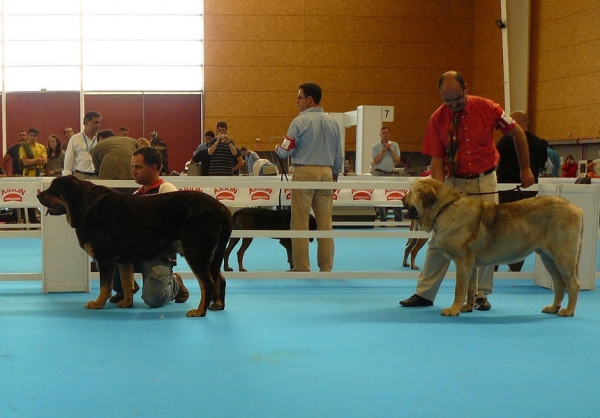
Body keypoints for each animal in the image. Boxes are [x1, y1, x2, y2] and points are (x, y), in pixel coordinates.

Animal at [38, 176, 232, 316]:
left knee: (207, 283)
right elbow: (126, 283)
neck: (85, 204)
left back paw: (199, 311)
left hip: (196, 251)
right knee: (219, 278)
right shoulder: (123, 259)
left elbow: (104, 285)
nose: (38, 194)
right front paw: (126, 303)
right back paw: (217, 305)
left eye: (53, 188)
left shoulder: (105, 257)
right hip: (211, 255)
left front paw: (98, 303)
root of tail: (222, 208)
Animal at [404, 176, 580, 316]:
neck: (444, 208)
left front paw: (453, 309)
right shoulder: (471, 264)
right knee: (559, 283)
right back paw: (553, 307)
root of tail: (576, 208)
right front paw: (467, 307)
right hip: (548, 258)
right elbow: (470, 287)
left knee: (573, 284)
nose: (402, 199)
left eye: (410, 192)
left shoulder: (462, 261)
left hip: (563, 257)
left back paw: (569, 311)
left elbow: (459, 288)